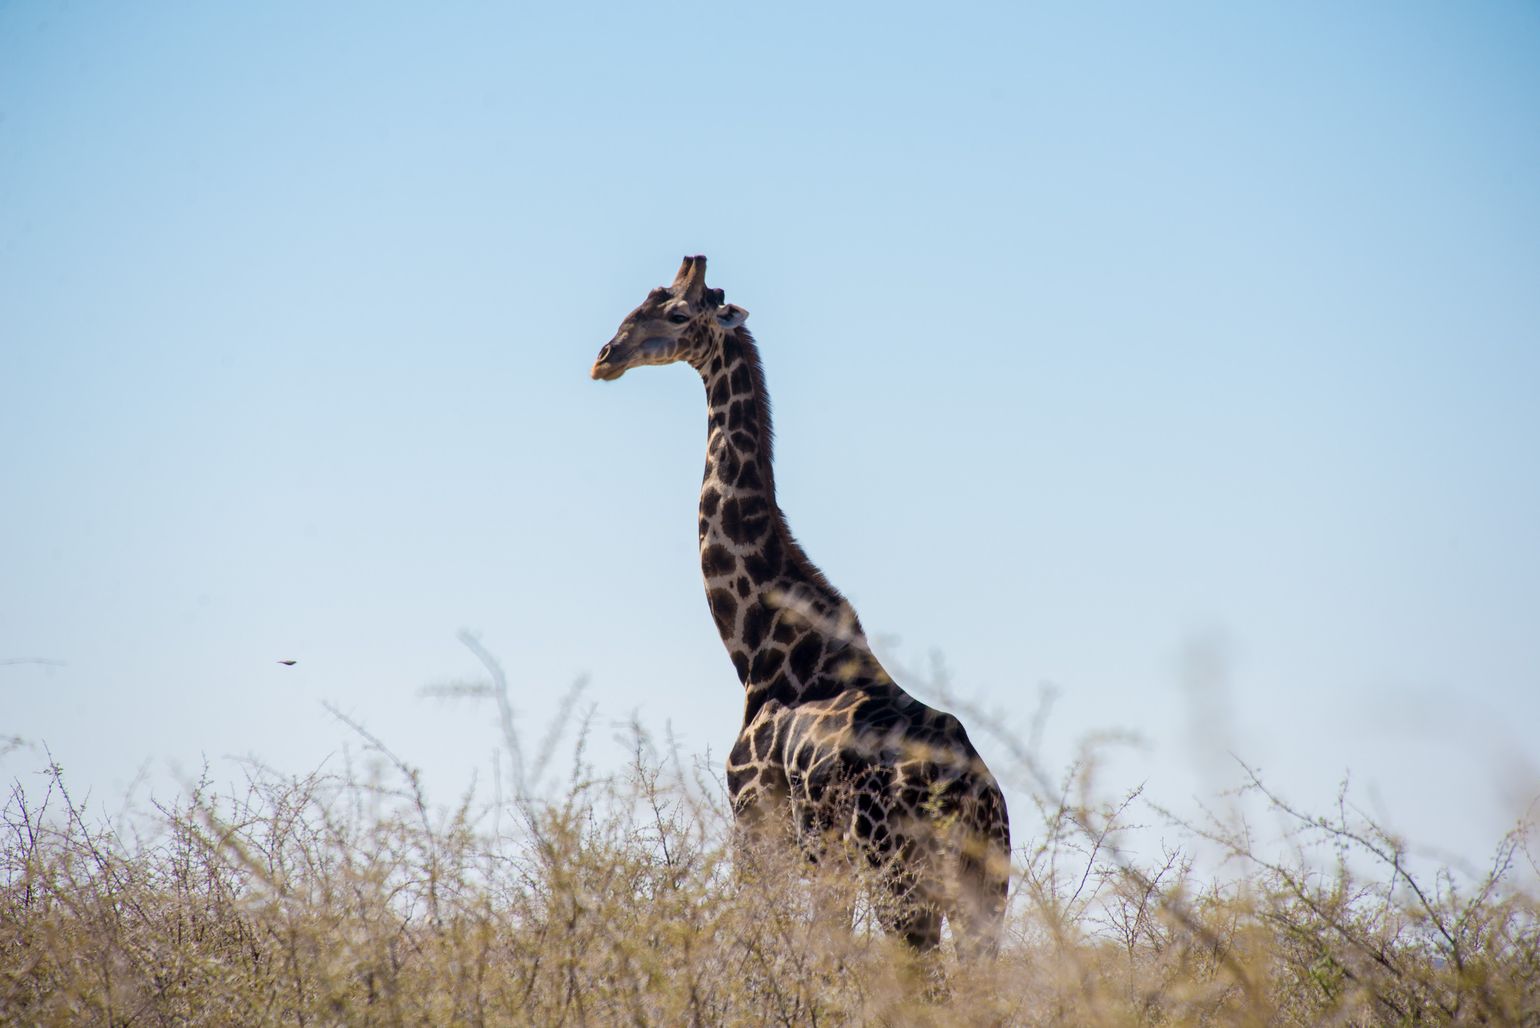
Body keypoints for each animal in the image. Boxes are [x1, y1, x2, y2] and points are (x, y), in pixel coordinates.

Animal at [590, 256, 1011, 956]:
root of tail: (973, 795)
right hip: (985, 892)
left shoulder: (755, 817)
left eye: (676, 313)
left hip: (900, 873)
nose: (605, 358)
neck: (759, 648)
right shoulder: (821, 851)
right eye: (635, 304)